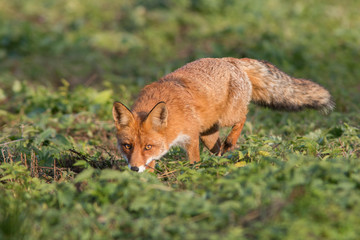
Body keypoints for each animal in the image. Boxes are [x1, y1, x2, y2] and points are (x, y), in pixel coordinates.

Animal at [113, 57, 334, 172]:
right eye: (127, 146)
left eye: (148, 146)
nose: (134, 169)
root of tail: (230, 59)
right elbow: (151, 165)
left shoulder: (191, 138)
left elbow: (193, 162)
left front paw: (194, 175)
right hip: (208, 136)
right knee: (218, 150)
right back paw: (221, 162)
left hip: (227, 118)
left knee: (243, 117)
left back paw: (231, 142)